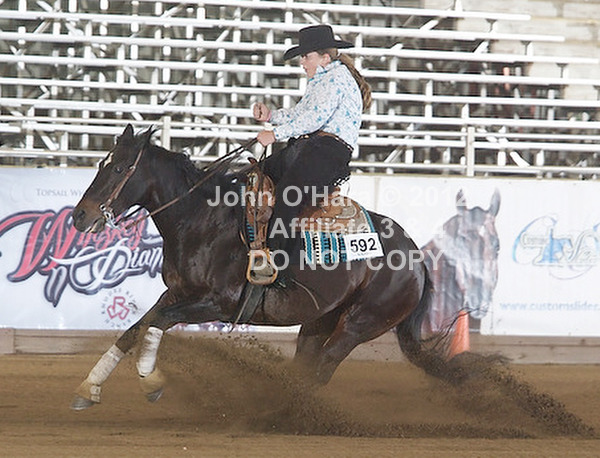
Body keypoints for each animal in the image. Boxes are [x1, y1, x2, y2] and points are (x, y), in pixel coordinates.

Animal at [69, 124, 465, 410]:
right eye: (102, 164)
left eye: (120, 168)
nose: (80, 216)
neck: (203, 220)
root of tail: (416, 258)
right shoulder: (176, 293)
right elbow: (134, 329)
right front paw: (89, 388)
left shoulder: (217, 304)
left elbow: (157, 323)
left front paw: (150, 382)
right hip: (318, 321)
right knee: (307, 364)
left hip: (360, 323)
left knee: (323, 367)